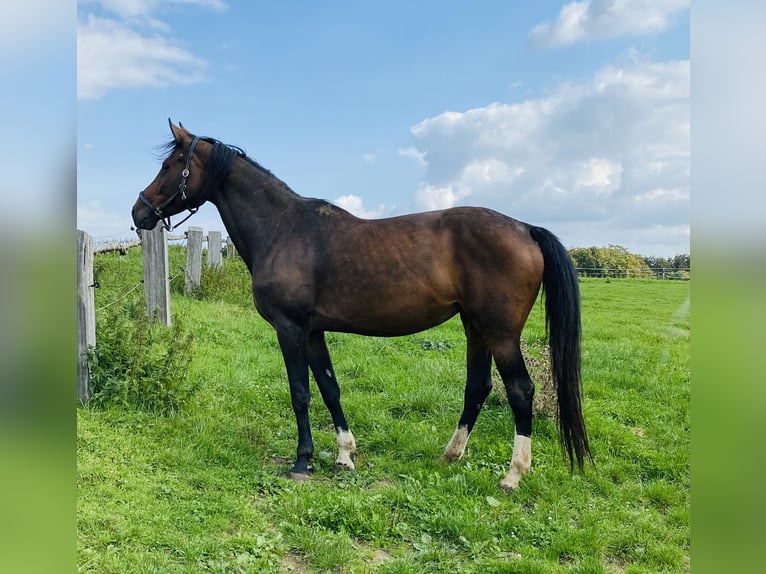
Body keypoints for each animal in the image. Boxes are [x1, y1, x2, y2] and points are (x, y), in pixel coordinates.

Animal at [132, 120, 590, 491]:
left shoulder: (290, 329)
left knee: (521, 391)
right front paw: (344, 455)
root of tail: (526, 229)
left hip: (500, 334)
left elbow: (300, 393)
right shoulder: (314, 331)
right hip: (475, 328)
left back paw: (513, 475)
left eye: (169, 165)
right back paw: (450, 455)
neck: (283, 229)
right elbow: (330, 388)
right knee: (478, 387)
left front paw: (302, 462)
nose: (139, 212)